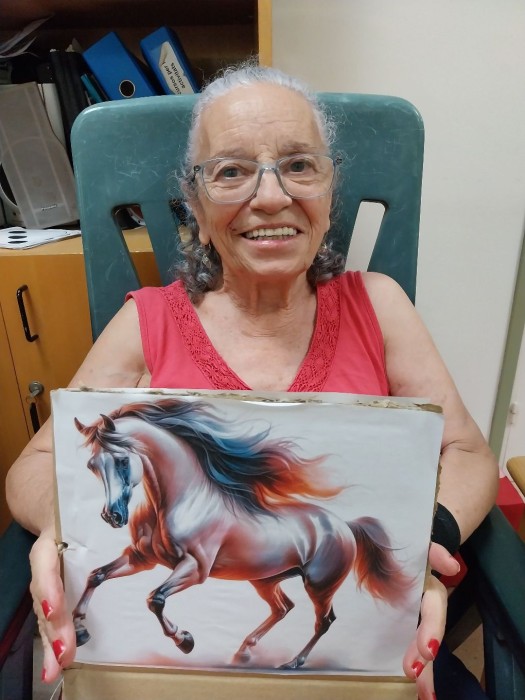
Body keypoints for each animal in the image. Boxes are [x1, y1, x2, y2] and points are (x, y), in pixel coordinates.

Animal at [72, 397, 413, 669]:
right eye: (92, 466)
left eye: (121, 460)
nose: (113, 516)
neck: (184, 500)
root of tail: (345, 526)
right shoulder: (141, 558)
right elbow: (96, 575)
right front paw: (79, 630)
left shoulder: (195, 568)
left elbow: (154, 599)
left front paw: (185, 640)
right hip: (265, 580)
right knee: (283, 608)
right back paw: (243, 652)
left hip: (320, 585)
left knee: (323, 621)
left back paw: (292, 662)